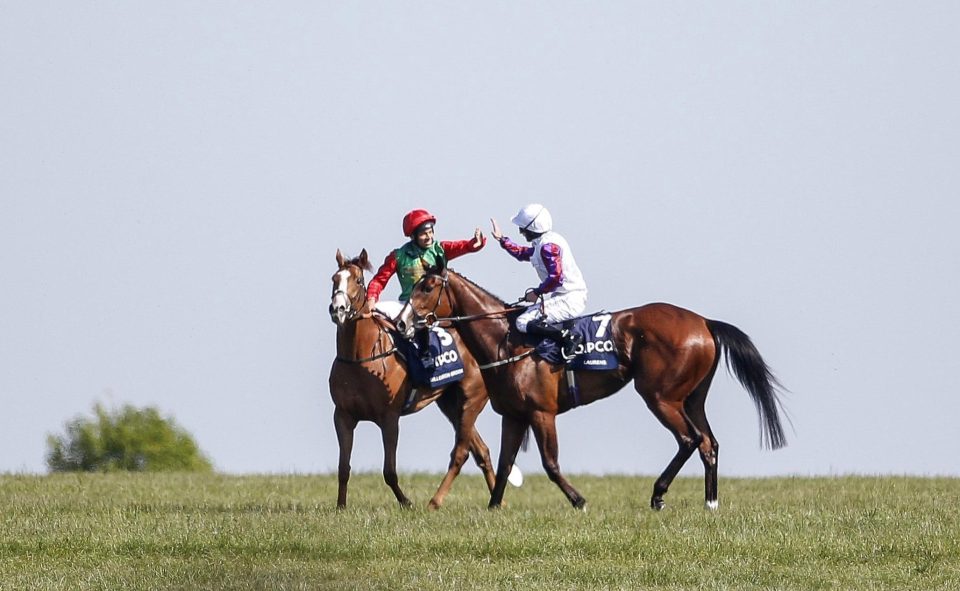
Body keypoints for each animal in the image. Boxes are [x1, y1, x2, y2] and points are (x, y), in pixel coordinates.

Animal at [326, 249, 498, 508]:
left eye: (357, 279)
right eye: (334, 279)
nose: (338, 309)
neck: (360, 357)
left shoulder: (389, 417)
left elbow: (389, 471)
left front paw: (406, 503)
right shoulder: (343, 416)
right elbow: (343, 468)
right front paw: (341, 506)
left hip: (472, 399)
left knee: (465, 451)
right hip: (452, 405)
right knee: (482, 451)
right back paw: (498, 501)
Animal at [398, 262, 788, 512]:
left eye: (427, 287)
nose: (401, 323)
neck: (506, 342)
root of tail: (704, 322)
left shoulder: (542, 413)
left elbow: (551, 463)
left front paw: (579, 500)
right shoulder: (514, 415)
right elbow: (507, 462)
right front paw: (494, 507)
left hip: (660, 397)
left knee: (689, 440)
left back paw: (658, 495)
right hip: (691, 398)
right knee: (708, 443)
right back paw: (710, 502)